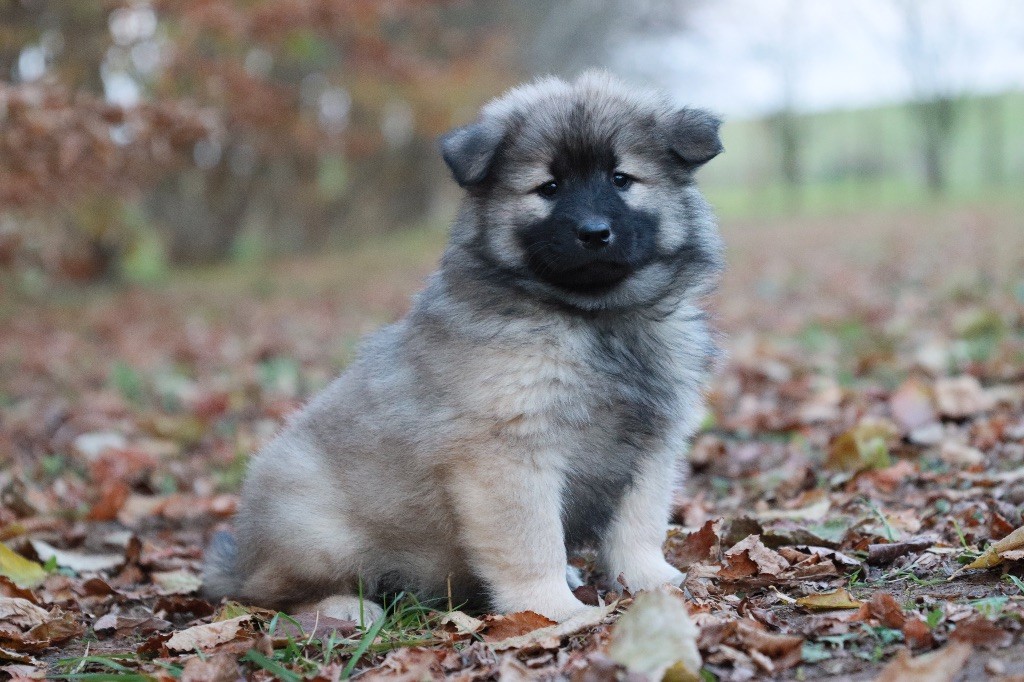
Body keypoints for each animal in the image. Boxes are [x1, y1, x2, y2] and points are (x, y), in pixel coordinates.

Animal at [203, 70, 724, 622]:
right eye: (549, 188)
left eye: (622, 179)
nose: (594, 232)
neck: (593, 318)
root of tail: (239, 559)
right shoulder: (511, 453)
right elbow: (533, 543)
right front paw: (552, 610)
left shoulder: (651, 447)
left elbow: (638, 527)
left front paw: (652, 581)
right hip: (316, 533)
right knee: (275, 594)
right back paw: (346, 609)